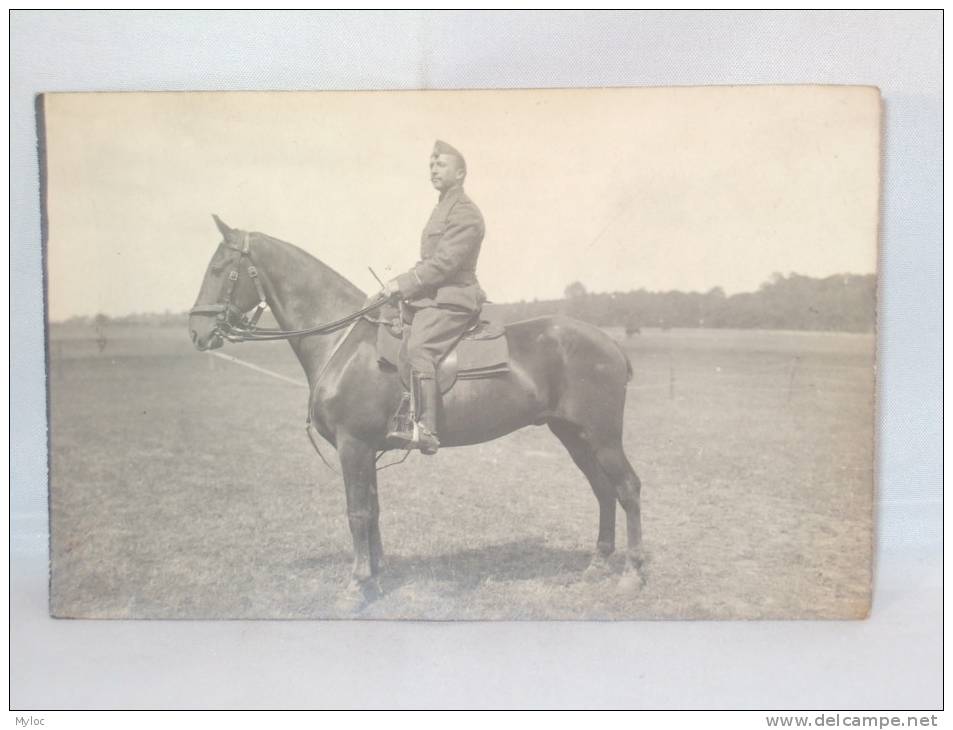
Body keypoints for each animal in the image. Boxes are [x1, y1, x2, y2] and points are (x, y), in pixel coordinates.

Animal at [190, 213, 644, 604]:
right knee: (602, 490)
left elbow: (357, 512)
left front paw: (356, 585)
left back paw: (632, 573)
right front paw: (377, 577)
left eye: (219, 269)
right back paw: (597, 564)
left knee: (627, 488)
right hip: (572, 435)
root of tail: (610, 342)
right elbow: (373, 510)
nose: (196, 331)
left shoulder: (353, 446)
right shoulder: (367, 450)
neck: (345, 344)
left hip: (603, 436)